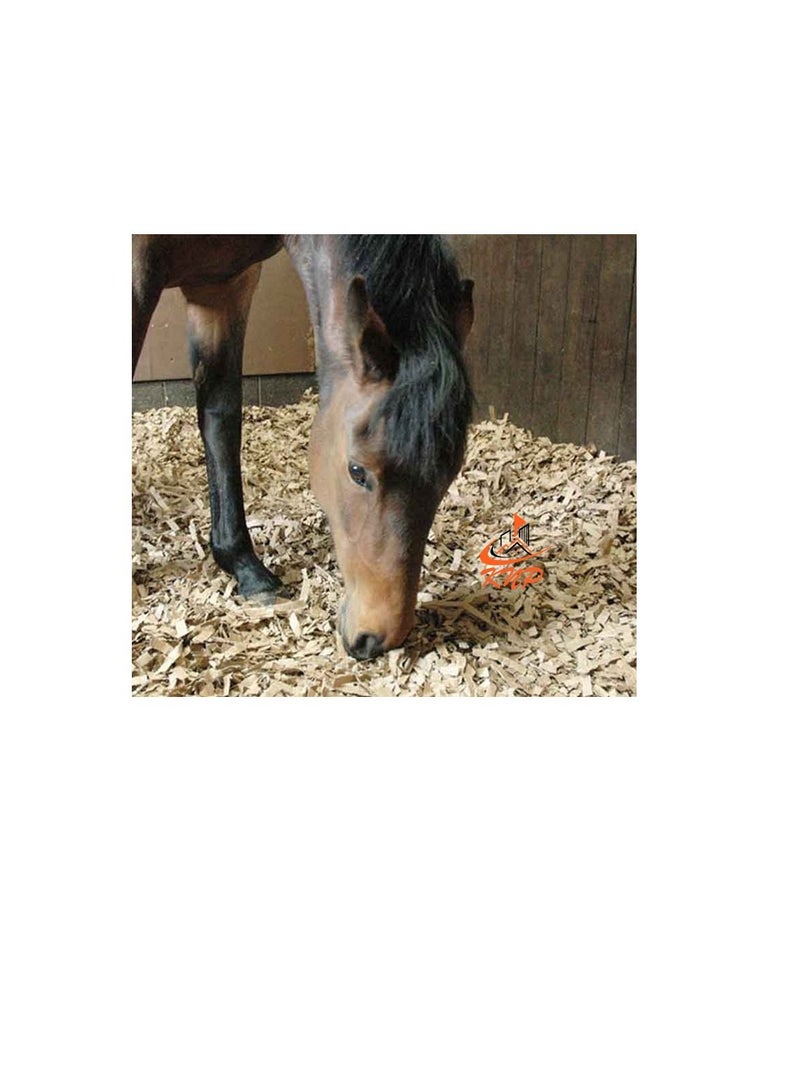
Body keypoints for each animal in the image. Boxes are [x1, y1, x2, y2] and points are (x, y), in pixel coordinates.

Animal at [132, 235, 475, 660]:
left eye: (448, 477)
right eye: (357, 470)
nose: (376, 639)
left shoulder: (224, 282)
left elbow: (220, 419)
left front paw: (245, 567)